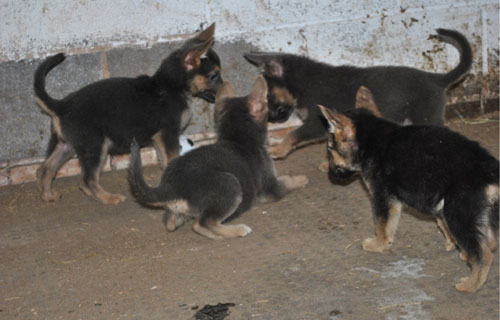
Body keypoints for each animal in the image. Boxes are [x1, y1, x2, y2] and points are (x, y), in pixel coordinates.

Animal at [34, 23, 222, 204]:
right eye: (214, 76)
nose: (226, 91)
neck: (171, 85)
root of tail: (61, 105)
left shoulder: (159, 139)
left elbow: (164, 161)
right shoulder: (168, 135)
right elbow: (171, 159)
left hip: (66, 145)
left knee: (45, 169)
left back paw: (48, 195)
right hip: (95, 146)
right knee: (86, 180)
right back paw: (109, 198)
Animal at [128, 76, 308, 239]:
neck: (237, 139)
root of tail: (170, 188)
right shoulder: (270, 187)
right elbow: (288, 181)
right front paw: (302, 178)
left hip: (177, 209)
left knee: (170, 223)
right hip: (230, 185)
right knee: (202, 224)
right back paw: (237, 230)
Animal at [246, 28, 472, 160]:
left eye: (269, 96)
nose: (270, 119)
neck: (303, 84)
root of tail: (436, 78)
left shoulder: (316, 124)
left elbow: (294, 134)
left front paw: (278, 150)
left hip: (426, 116)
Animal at [318, 85, 498, 292]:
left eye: (330, 149)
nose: (330, 174)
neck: (371, 140)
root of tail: (490, 171)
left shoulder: (383, 198)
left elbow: (382, 225)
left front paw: (378, 244)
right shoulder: (437, 203)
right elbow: (441, 224)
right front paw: (452, 244)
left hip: (459, 215)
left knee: (482, 253)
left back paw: (471, 284)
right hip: (475, 214)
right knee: (490, 243)